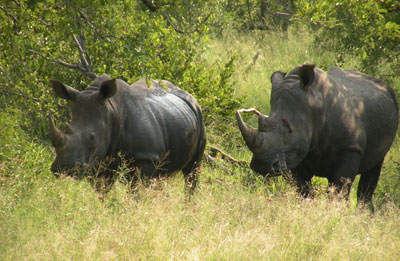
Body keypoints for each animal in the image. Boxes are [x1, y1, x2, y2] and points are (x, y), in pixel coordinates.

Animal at [50, 73, 206, 189]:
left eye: (92, 138)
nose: (64, 168)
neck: (111, 111)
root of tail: (190, 96)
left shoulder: (146, 156)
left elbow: (137, 191)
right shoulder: (97, 162)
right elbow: (102, 191)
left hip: (199, 118)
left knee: (192, 171)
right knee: (162, 176)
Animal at [238, 64, 396, 208]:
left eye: (290, 130)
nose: (261, 165)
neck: (314, 106)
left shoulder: (350, 149)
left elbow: (338, 191)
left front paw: (336, 213)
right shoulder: (295, 156)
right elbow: (304, 191)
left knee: (374, 169)